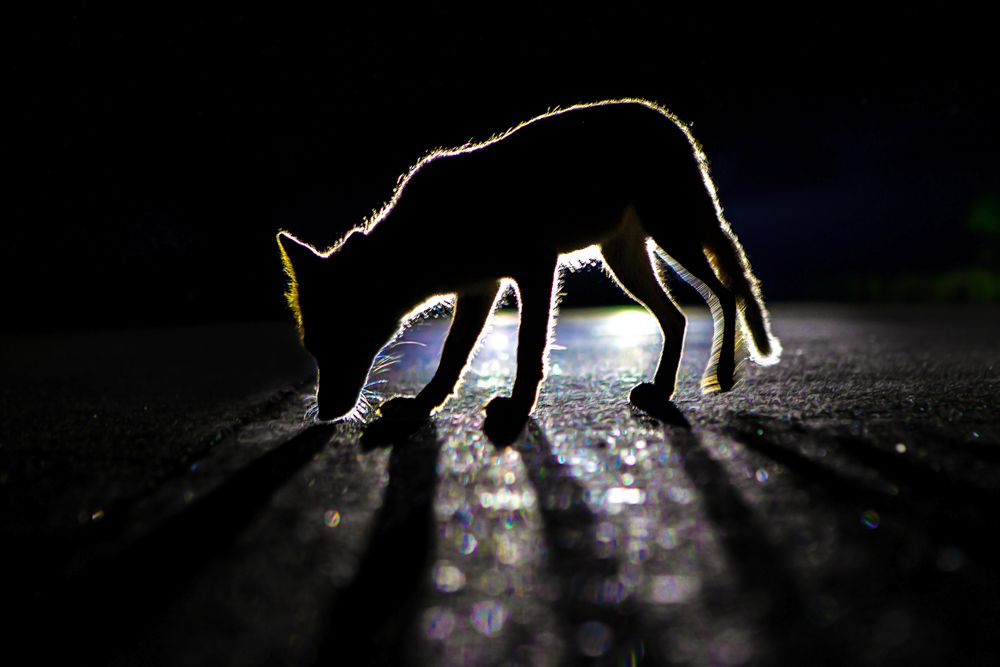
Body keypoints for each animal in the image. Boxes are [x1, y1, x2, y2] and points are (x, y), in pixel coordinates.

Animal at [277, 98, 781, 439]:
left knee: (727, 292)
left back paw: (724, 373)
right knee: (677, 317)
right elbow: (452, 358)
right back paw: (661, 391)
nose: (325, 413)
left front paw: (518, 410)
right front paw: (421, 408)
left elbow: (527, 350)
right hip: (625, 260)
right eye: (314, 348)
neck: (430, 232)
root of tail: (669, 120)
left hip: (671, 237)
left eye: (339, 342)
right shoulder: (480, 288)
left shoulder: (535, 268)